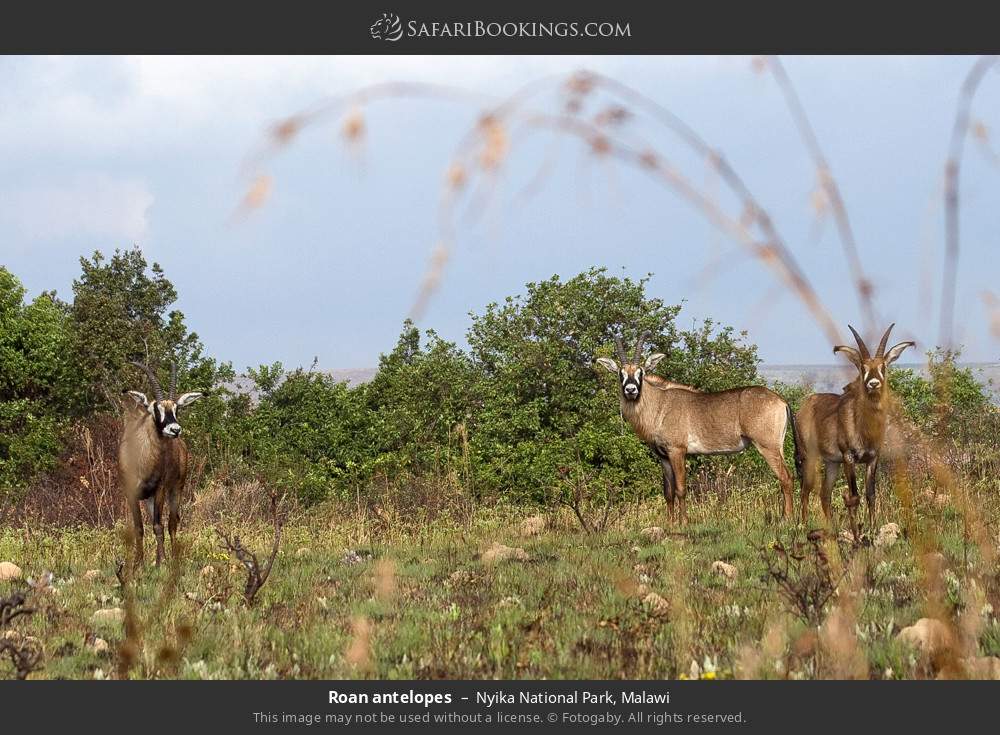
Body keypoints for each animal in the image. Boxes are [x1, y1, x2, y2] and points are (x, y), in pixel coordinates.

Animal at [119, 361, 204, 567]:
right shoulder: (131, 492)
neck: (142, 460)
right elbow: (139, 528)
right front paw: (139, 563)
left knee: (172, 523)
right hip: (149, 498)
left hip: (175, 489)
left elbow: (159, 526)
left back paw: (172, 559)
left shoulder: (159, 490)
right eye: (155, 408)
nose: (175, 429)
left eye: (176, 408)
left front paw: (162, 562)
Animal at [597, 330, 796, 524]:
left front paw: (684, 522)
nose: (631, 390)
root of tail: (781, 400)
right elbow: (668, 492)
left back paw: (786, 519)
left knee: (785, 477)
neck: (660, 404)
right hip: (777, 447)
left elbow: (680, 489)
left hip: (767, 447)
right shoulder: (664, 457)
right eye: (620, 373)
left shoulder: (677, 451)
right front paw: (669, 524)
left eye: (641, 372)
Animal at [794, 323, 914, 531]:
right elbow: (854, 495)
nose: (873, 383)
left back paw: (830, 527)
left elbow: (870, 494)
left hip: (832, 463)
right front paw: (856, 529)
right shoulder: (849, 457)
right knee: (805, 489)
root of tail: (805, 406)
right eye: (863, 367)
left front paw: (873, 528)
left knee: (824, 493)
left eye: (883, 366)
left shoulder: (872, 458)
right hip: (811, 456)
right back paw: (803, 525)